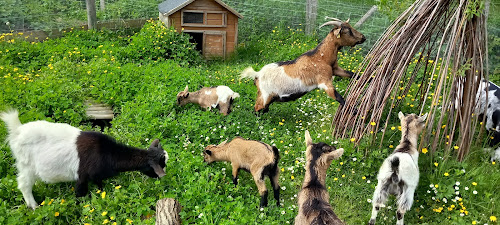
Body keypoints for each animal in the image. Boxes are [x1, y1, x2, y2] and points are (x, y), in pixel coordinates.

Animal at [0, 109, 168, 209]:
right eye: (161, 164)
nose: (162, 177)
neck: (108, 153)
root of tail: (17, 130)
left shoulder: (97, 176)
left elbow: (100, 186)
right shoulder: (83, 176)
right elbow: (81, 193)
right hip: (26, 165)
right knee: (24, 185)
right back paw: (34, 206)